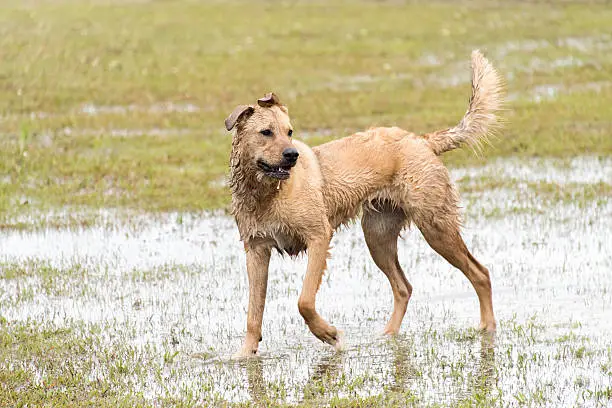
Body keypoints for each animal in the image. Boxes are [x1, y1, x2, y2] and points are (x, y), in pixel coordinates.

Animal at [225, 50, 502, 356]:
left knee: (480, 273)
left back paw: (487, 329)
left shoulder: (319, 237)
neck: (266, 193)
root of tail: (421, 141)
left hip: (436, 227)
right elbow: (253, 313)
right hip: (377, 236)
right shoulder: (256, 251)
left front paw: (330, 334)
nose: (292, 155)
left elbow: (304, 301)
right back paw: (387, 336)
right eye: (266, 132)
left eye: (289, 132)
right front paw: (245, 355)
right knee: (403, 288)